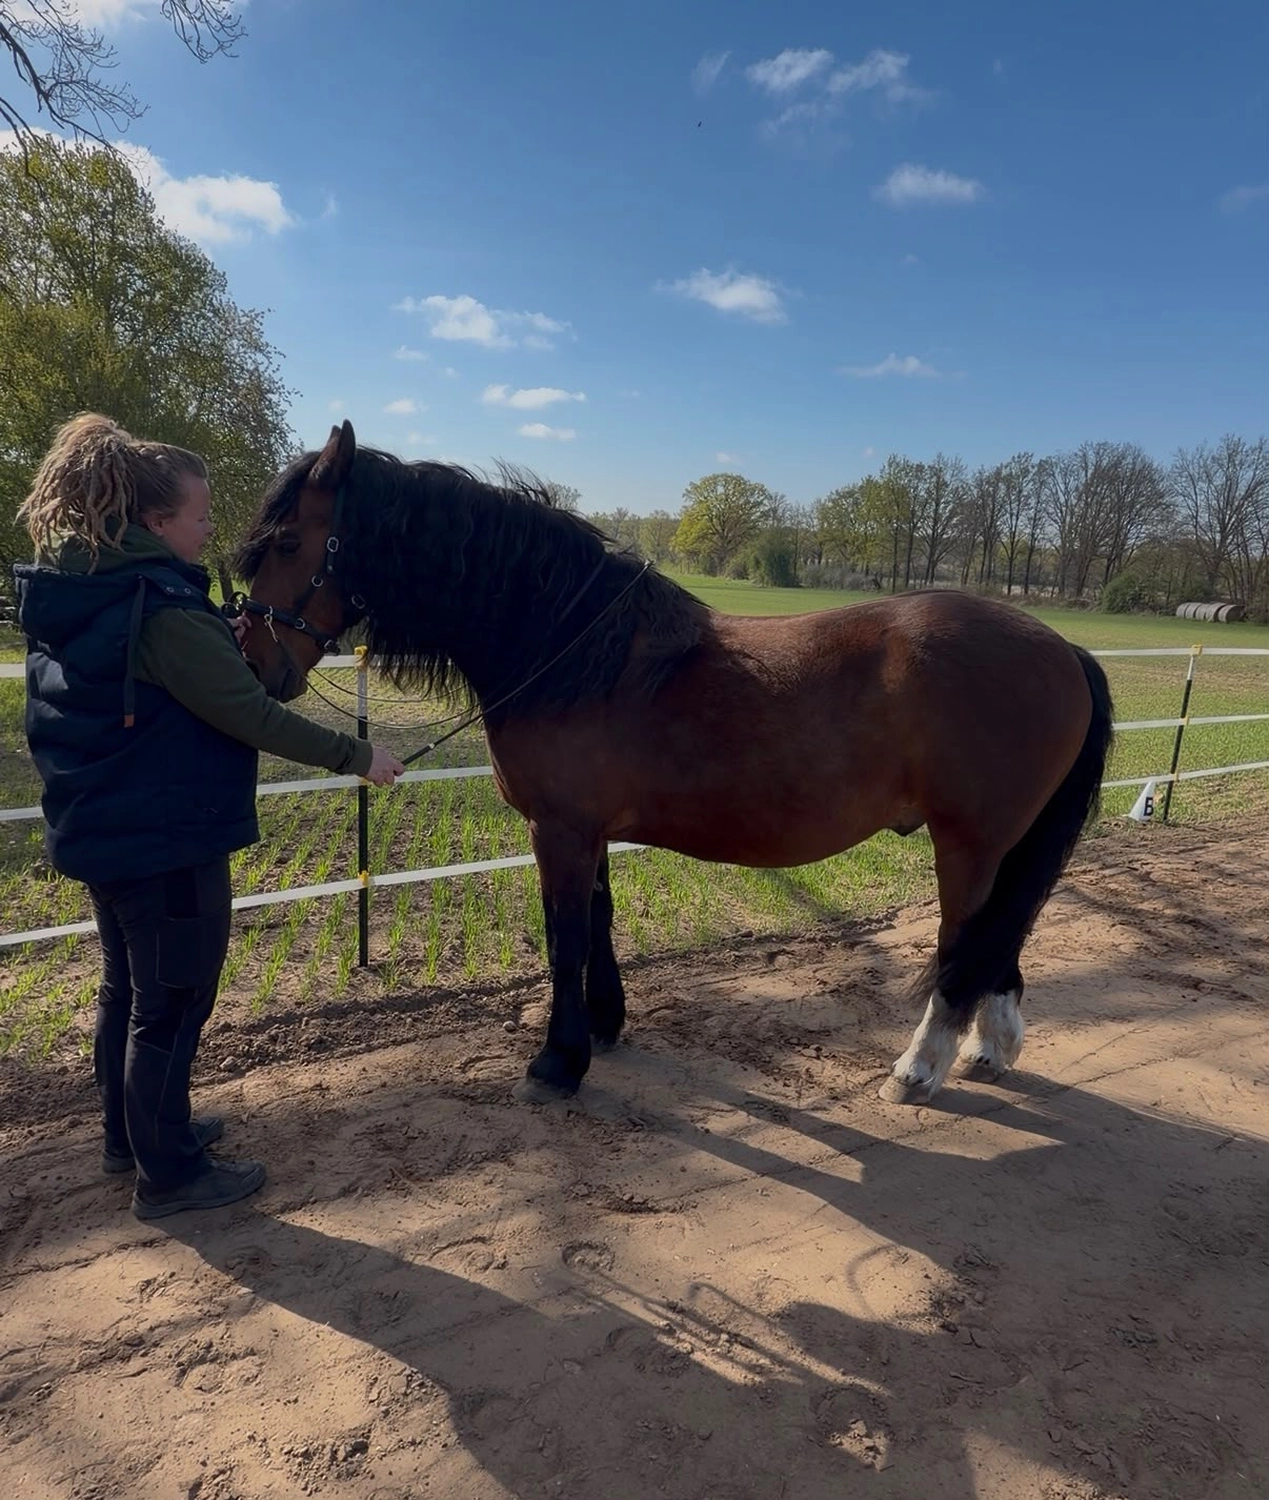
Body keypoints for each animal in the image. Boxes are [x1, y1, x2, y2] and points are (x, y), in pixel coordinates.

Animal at [233, 421, 1114, 1106]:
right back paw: (992, 1047)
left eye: (287, 541)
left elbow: (564, 935)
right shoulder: (585, 830)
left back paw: (919, 1066)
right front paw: (603, 1027)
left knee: (965, 945)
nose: (253, 663)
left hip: (966, 842)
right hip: (1005, 844)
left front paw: (557, 1061)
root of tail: (1063, 650)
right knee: (999, 937)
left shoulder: (559, 829)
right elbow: (597, 922)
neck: (568, 646)